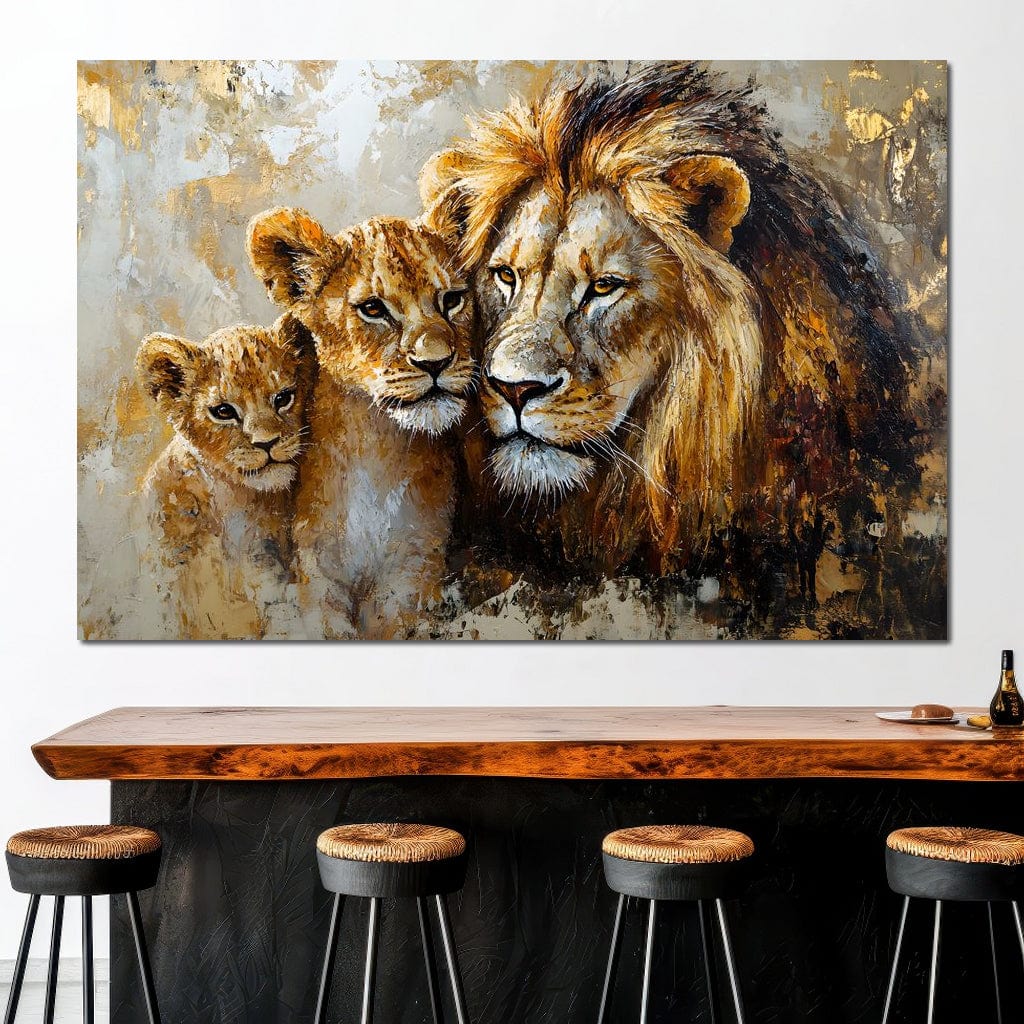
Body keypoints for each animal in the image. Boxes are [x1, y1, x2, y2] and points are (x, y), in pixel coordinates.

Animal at [246, 208, 477, 639]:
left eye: (452, 300)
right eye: (373, 309)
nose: (436, 362)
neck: (376, 447)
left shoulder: (415, 567)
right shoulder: (317, 566)